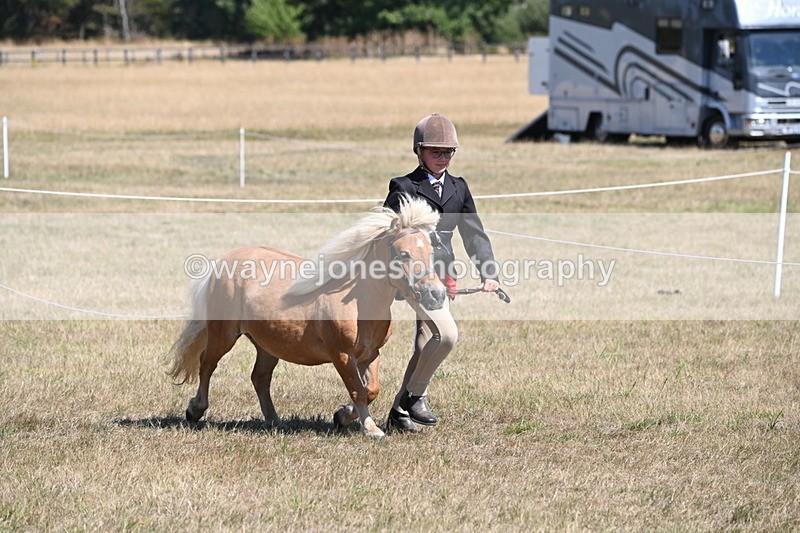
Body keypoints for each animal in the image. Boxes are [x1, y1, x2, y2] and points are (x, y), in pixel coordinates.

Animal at [167, 197, 445, 439]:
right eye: (404, 254)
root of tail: (222, 263)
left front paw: (342, 415)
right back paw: (195, 410)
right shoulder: (342, 355)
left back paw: (274, 420)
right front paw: (370, 429)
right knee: (207, 364)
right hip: (223, 334)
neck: (359, 303)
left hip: (268, 345)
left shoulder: (370, 354)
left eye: (431, 252)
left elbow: (371, 390)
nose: (436, 294)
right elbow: (357, 390)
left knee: (260, 377)